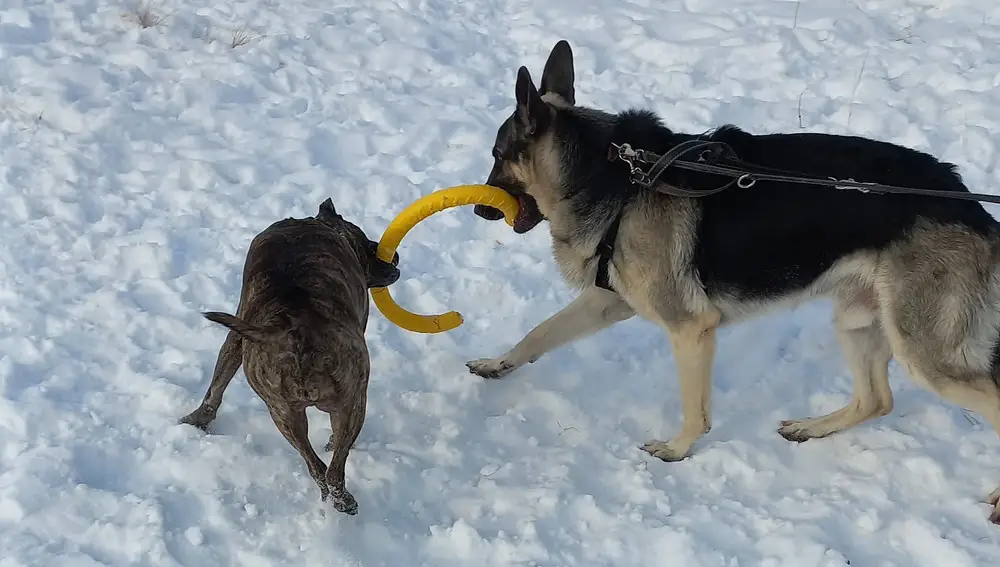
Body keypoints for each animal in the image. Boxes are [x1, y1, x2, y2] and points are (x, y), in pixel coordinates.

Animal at [464, 40, 1000, 524]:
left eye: (496, 153)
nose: (478, 210)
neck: (611, 176)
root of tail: (976, 211)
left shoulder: (690, 329)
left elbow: (695, 410)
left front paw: (676, 450)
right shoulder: (608, 301)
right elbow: (537, 335)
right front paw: (497, 365)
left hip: (924, 354)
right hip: (858, 321)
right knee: (877, 400)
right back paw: (811, 428)